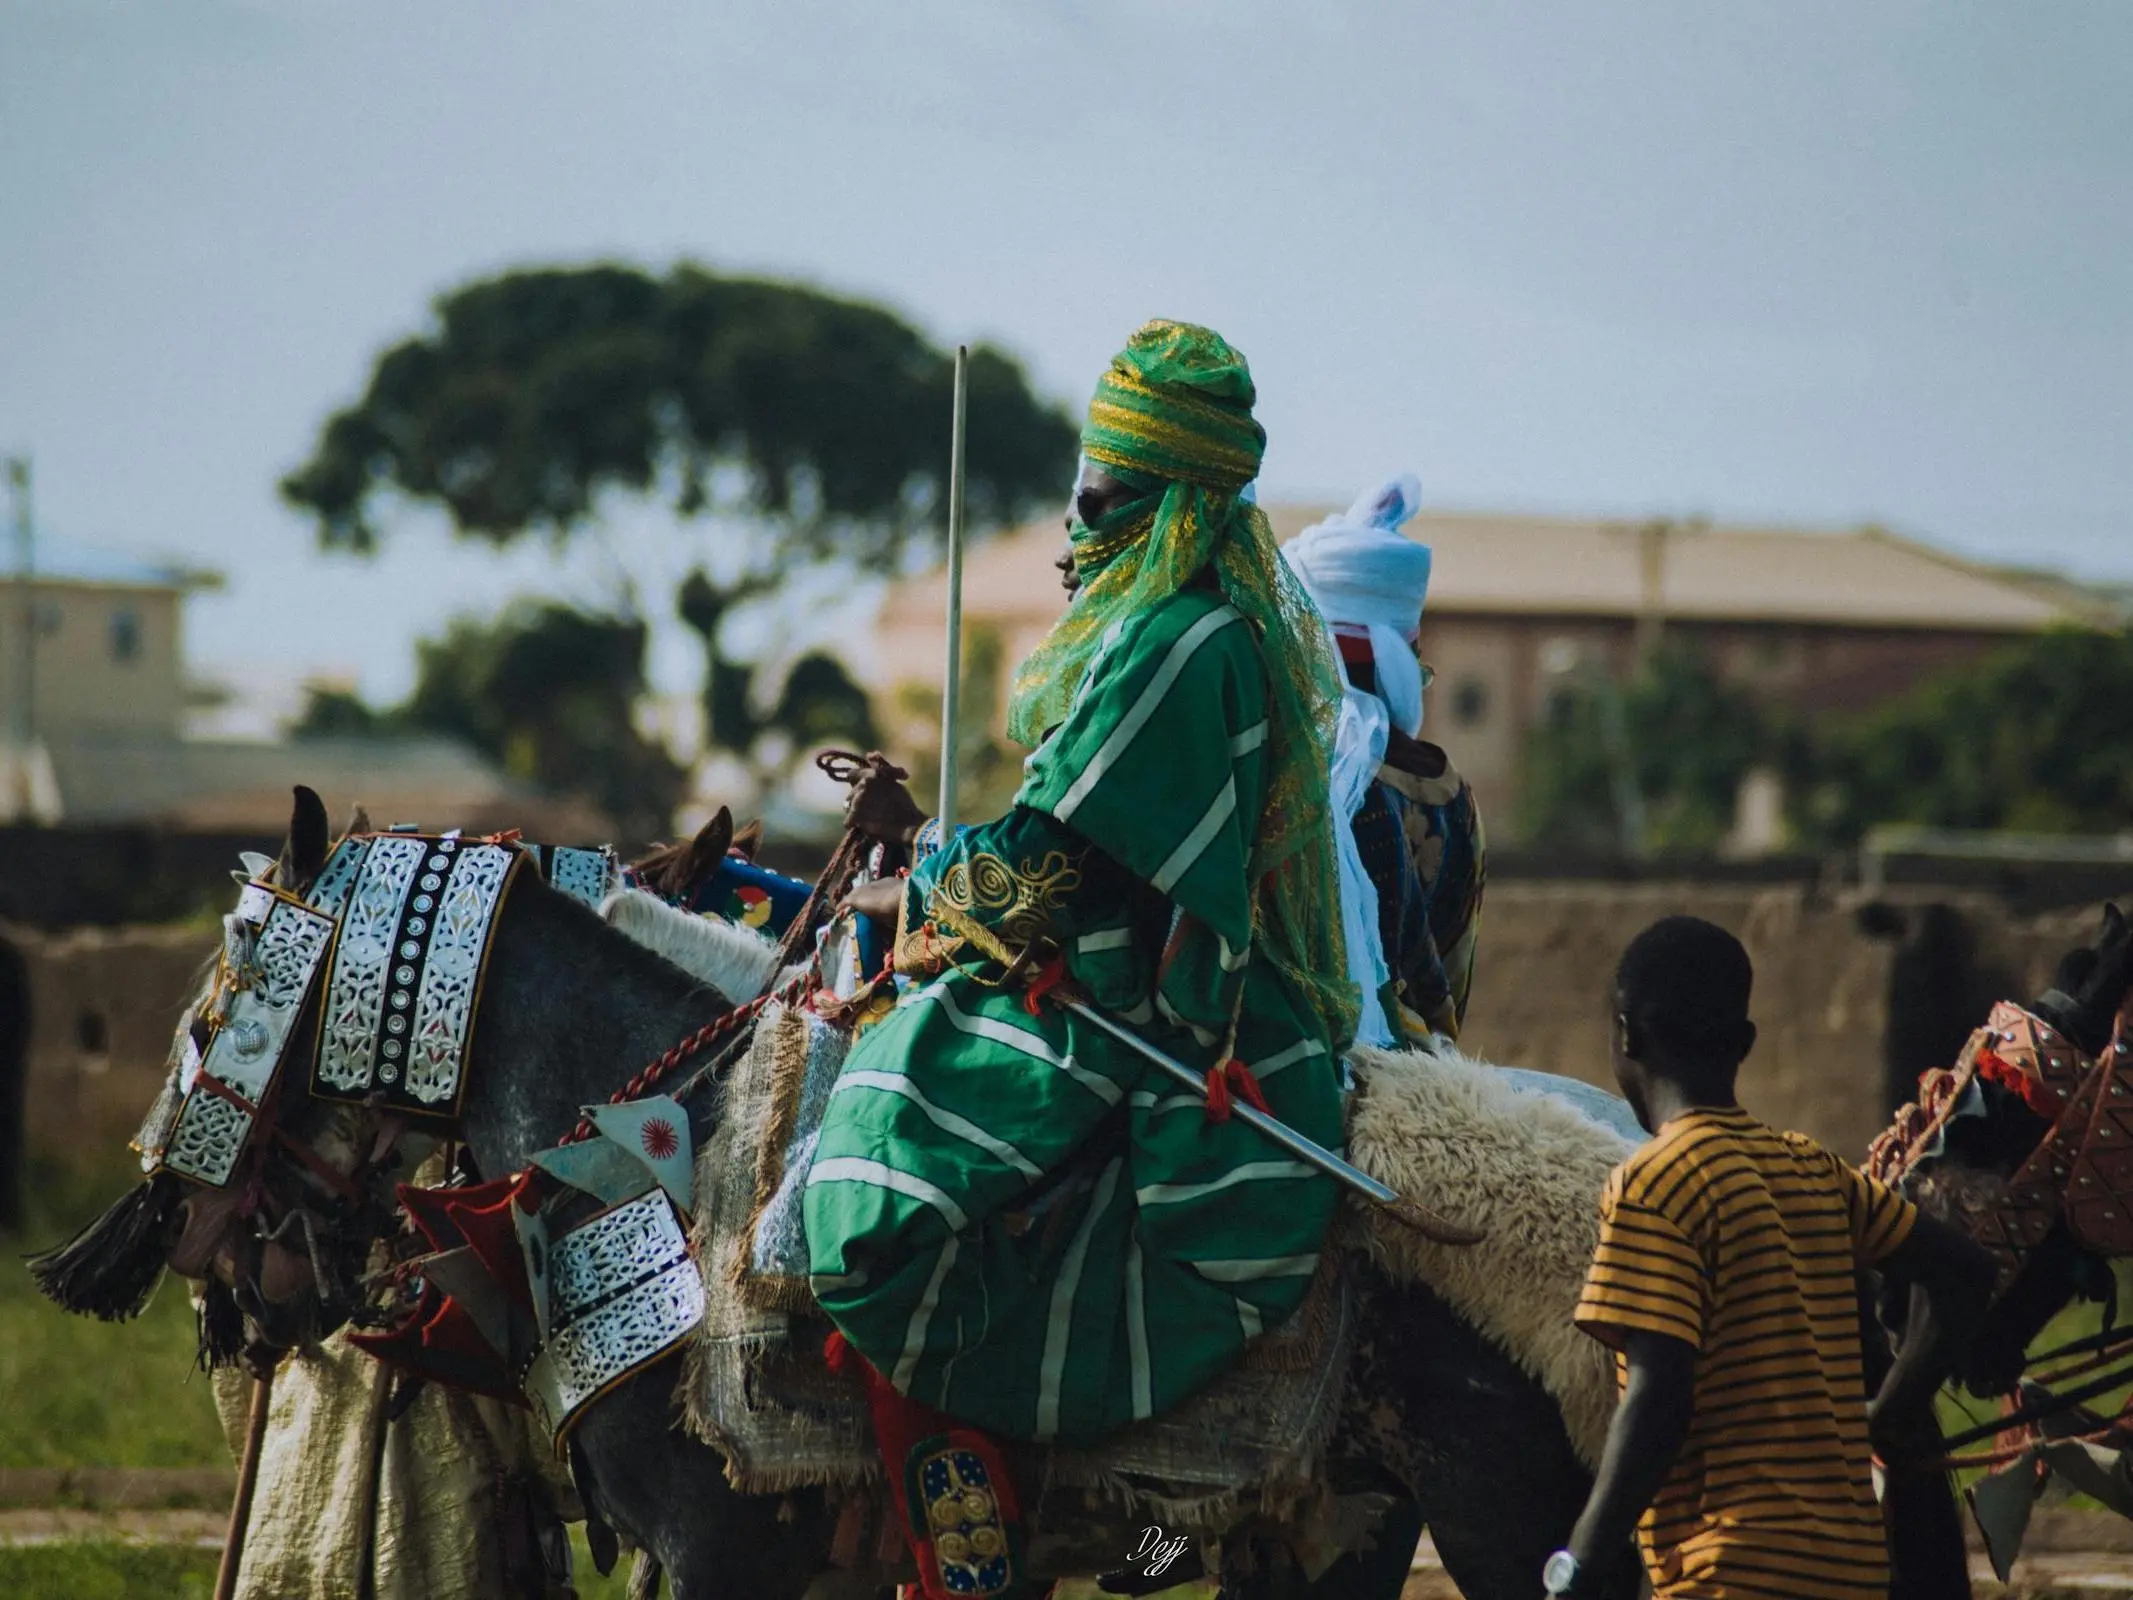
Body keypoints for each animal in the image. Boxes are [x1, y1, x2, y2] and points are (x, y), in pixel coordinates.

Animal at [37, 793, 1646, 1600]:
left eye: (224, 1003)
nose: (204, 1264)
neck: (663, 1143)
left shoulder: (723, 1552)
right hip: (1341, 1531)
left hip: (1503, 1523)